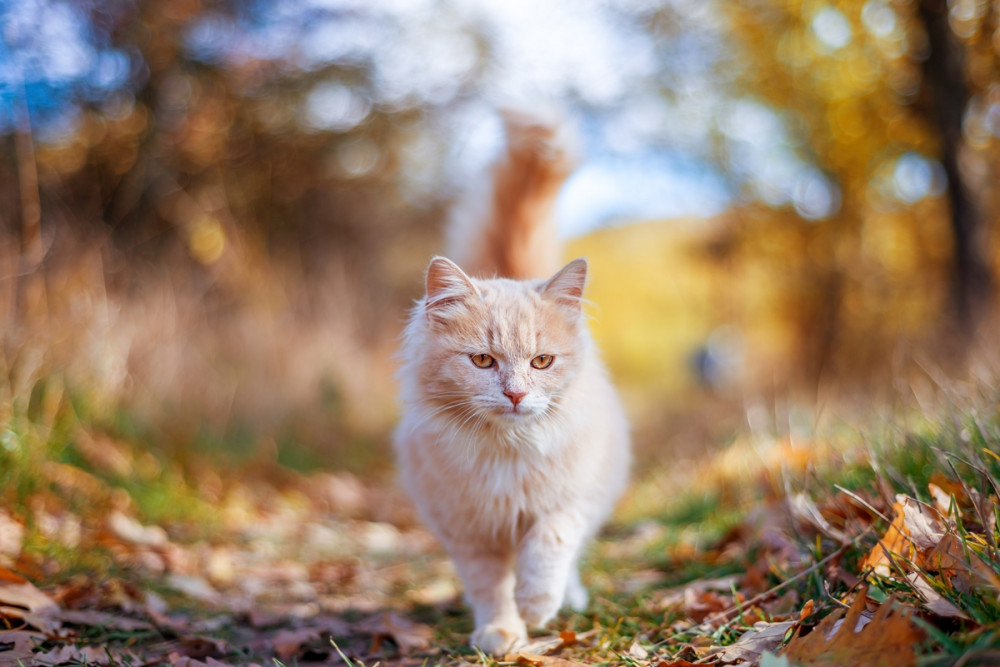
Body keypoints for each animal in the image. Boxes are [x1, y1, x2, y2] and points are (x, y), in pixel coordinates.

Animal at [394, 111, 628, 656]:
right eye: (483, 360)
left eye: (542, 361)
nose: (517, 394)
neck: (507, 452)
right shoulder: (470, 530)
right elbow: (490, 586)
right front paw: (502, 631)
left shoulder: (571, 498)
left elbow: (550, 545)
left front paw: (538, 606)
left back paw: (569, 598)